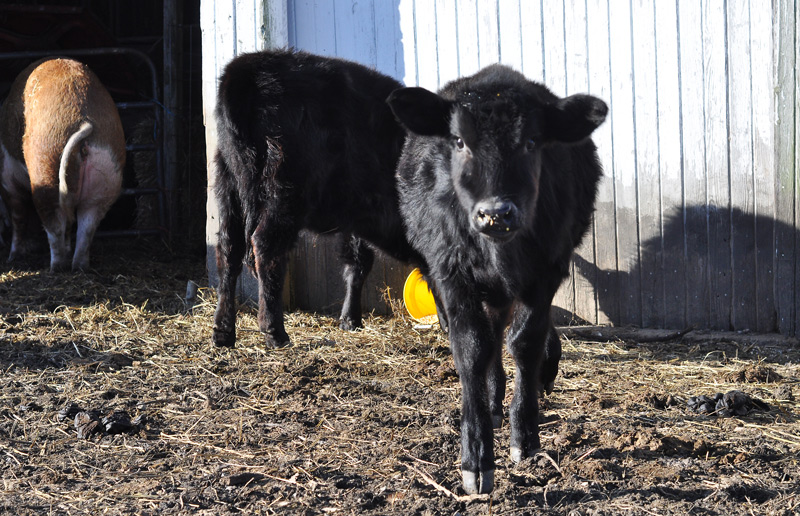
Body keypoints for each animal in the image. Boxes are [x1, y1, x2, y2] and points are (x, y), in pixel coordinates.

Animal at [0, 57, 125, 272]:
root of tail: (84, 121)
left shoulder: (7, 180)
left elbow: (18, 217)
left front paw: (13, 257)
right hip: (108, 176)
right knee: (87, 227)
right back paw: (79, 267)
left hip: (45, 164)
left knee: (54, 225)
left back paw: (56, 268)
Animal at [211, 49, 429, 349]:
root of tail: (243, 71)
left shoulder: (357, 220)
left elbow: (357, 263)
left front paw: (350, 320)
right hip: (281, 198)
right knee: (266, 249)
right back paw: (275, 332)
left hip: (229, 190)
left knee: (228, 251)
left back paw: (223, 333)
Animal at [387, 64, 607, 494]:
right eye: (458, 140)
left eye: (533, 141)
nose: (496, 213)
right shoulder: (451, 273)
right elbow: (472, 349)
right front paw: (476, 457)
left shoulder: (546, 271)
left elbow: (524, 343)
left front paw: (525, 434)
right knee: (488, 339)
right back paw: (491, 403)